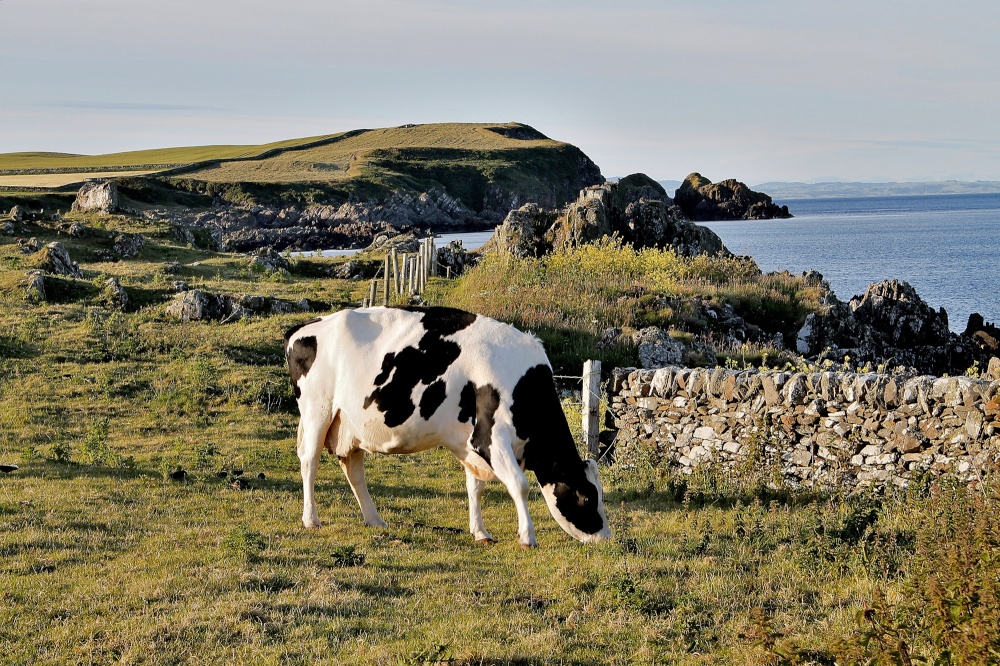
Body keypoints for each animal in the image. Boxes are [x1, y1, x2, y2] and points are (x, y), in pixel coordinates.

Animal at [284, 305, 611, 547]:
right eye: (585, 496)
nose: (605, 537)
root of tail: (305, 327)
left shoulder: (470, 444)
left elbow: (475, 487)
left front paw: (481, 532)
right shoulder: (489, 437)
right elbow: (519, 485)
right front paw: (527, 537)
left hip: (349, 425)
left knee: (353, 470)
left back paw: (374, 520)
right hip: (317, 411)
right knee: (309, 461)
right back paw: (311, 519)